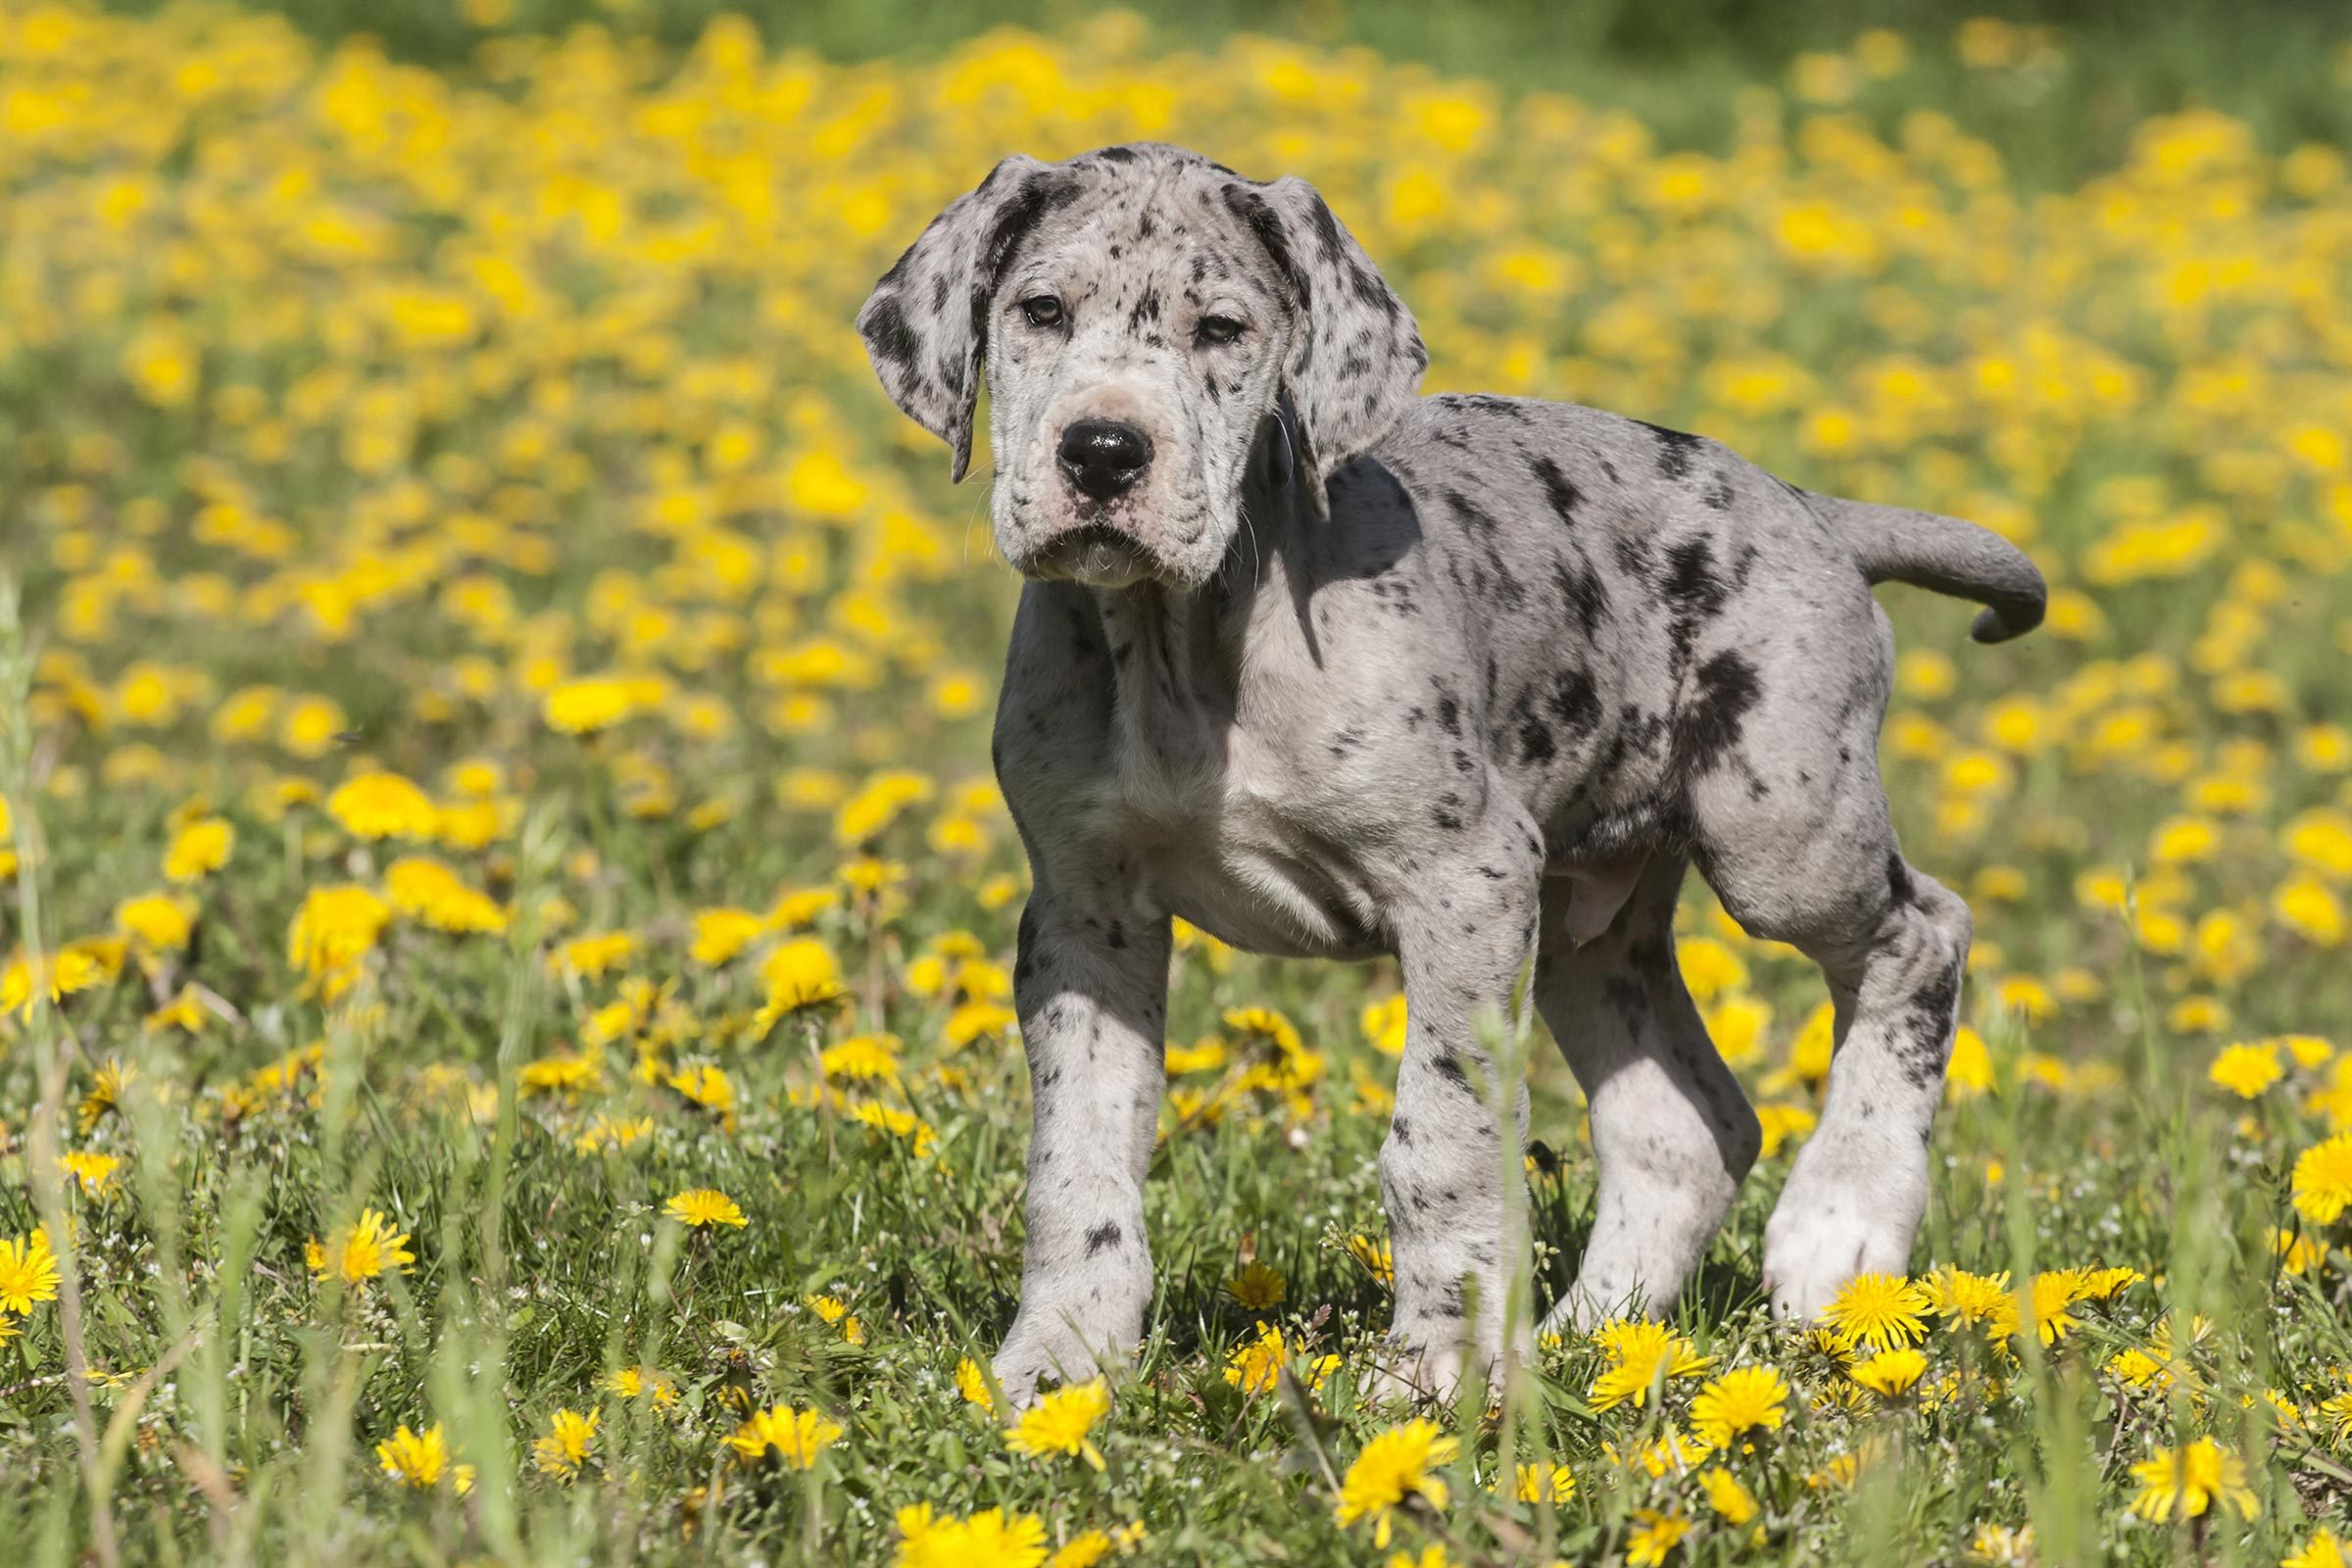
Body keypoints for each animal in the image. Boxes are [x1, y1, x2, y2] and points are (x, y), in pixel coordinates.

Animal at [860, 140, 2041, 1400]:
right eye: (1039, 312)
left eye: (1222, 329)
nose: (1101, 451)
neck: (1181, 646)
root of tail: (1810, 511)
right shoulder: (1087, 909)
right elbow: (1078, 1152)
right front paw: (1062, 1356)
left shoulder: (1464, 879)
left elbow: (1441, 1138)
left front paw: (1441, 1372)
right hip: (1585, 924)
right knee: (1686, 1128)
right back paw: (1587, 1342)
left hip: (1779, 835)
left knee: (1921, 934)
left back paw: (1839, 1227)